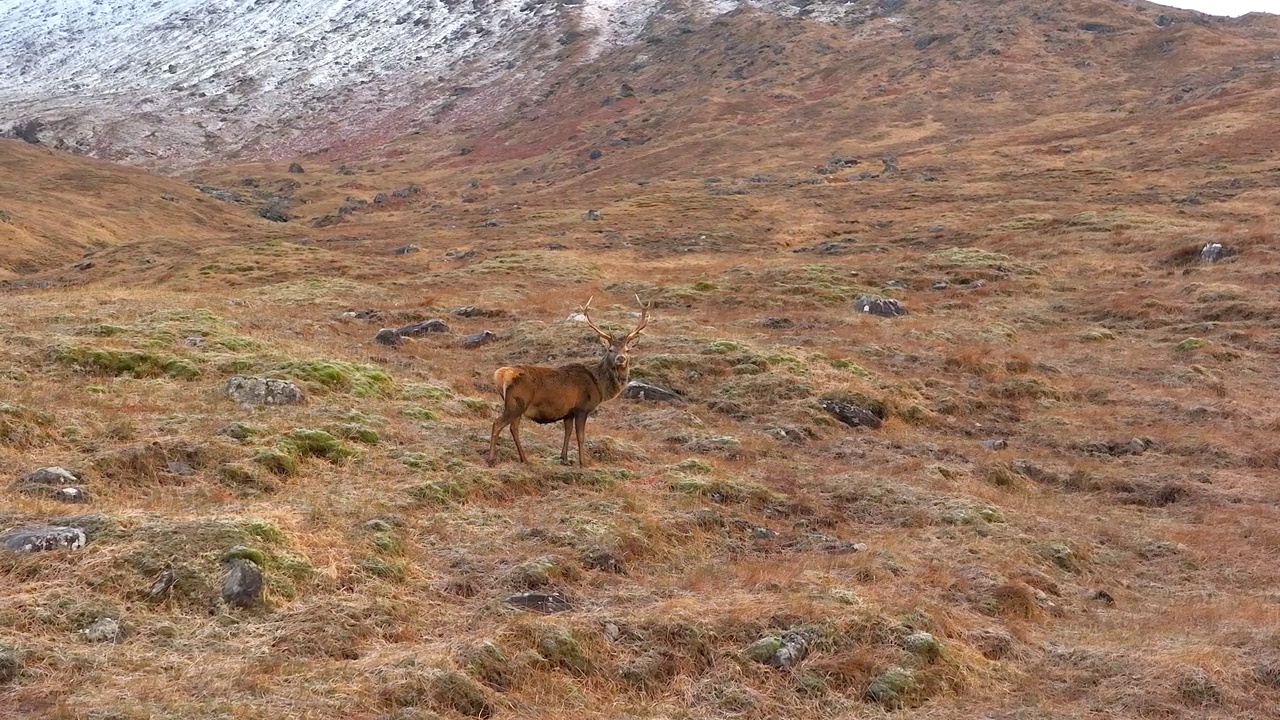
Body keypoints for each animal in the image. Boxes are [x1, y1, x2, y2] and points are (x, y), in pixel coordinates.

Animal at [488, 294, 650, 468]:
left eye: (627, 350)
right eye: (610, 349)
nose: (621, 358)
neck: (599, 385)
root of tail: (501, 375)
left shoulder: (568, 412)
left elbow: (567, 432)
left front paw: (564, 458)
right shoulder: (582, 408)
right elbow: (580, 436)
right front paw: (583, 462)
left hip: (517, 405)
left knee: (514, 428)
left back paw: (524, 459)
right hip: (517, 403)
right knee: (497, 424)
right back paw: (492, 459)